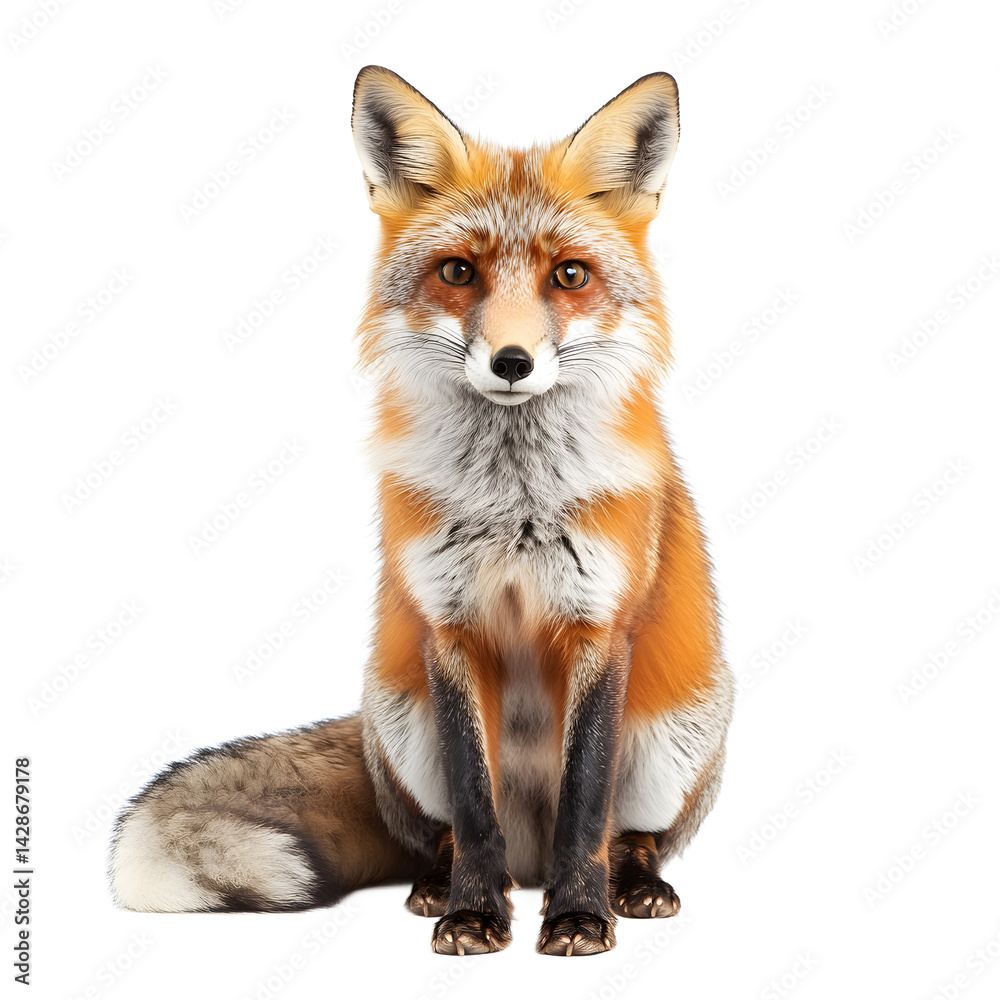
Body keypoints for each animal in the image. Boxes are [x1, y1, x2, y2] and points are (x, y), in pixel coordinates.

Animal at [109, 66, 734, 957]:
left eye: (570, 276)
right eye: (458, 272)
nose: (513, 361)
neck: (514, 506)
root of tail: (529, 861)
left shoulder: (599, 626)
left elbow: (586, 804)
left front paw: (581, 917)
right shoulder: (448, 624)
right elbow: (473, 803)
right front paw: (472, 913)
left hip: (674, 738)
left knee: (627, 834)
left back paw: (634, 885)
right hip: (399, 722)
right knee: (443, 835)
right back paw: (444, 886)